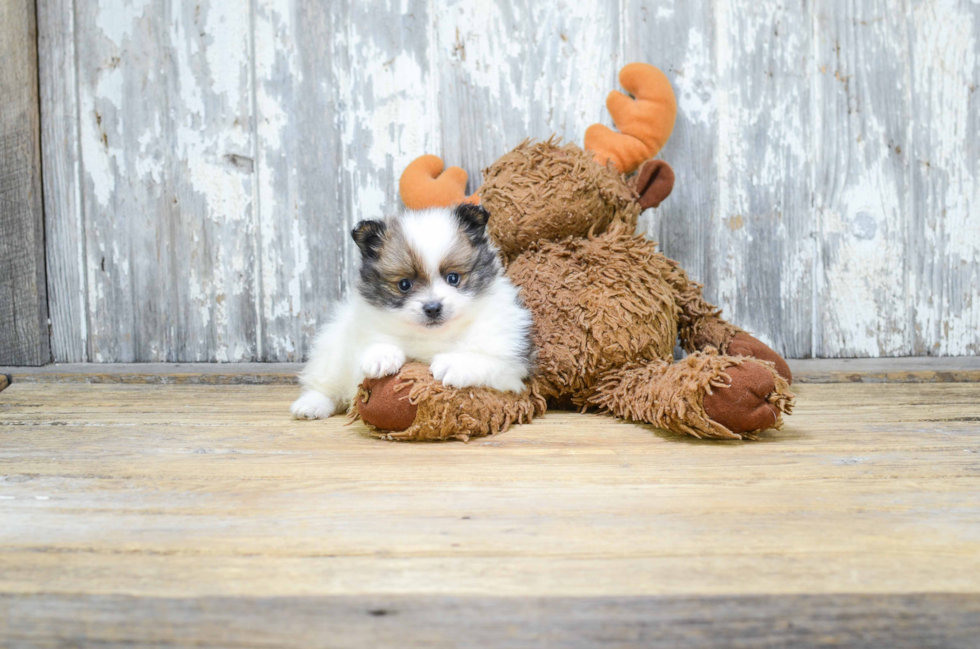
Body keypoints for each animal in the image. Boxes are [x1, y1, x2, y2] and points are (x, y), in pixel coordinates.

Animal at [290, 205, 532, 422]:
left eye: (453, 278)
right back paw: (312, 404)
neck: (434, 335)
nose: (433, 307)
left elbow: (484, 359)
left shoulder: (512, 367)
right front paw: (382, 356)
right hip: (332, 352)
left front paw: (455, 364)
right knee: (325, 383)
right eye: (404, 284)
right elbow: (376, 343)